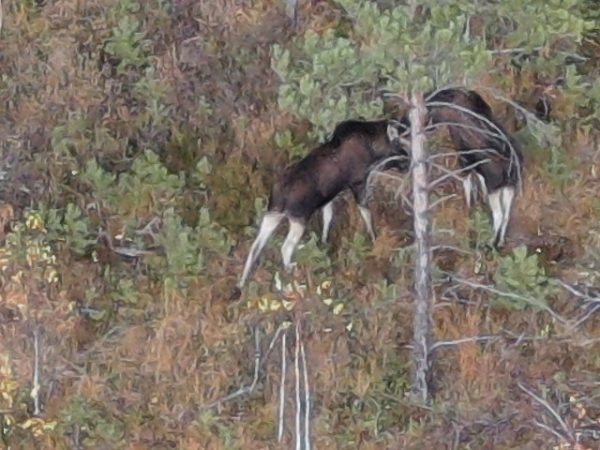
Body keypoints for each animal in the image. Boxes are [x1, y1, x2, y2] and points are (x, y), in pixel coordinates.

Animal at [232, 118, 410, 292]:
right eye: (402, 148)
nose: (408, 166)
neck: (373, 147)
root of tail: (281, 195)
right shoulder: (358, 183)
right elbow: (366, 214)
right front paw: (374, 239)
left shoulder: (329, 198)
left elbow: (327, 219)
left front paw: (324, 244)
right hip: (299, 217)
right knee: (286, 247)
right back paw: (291, 274)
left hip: (272, 213)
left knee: (255, 245)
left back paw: (241, 283)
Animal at [424, 88, 524, 250]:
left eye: (430, 112)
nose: (427, 126)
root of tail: (513, 165)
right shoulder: (478, 169)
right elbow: (478, 187)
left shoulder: (464, 162)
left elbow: (468, 191)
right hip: (510, 186)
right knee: (507, 214)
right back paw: (500, 241)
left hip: (495, 187)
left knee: (499, 214)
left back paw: (490, 242)